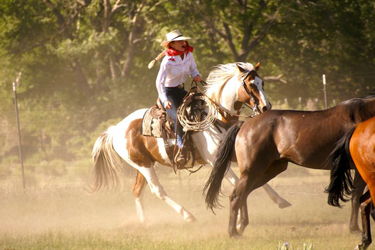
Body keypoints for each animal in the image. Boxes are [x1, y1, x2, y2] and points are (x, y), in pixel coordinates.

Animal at [206, 95, 375, 236]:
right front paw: (355, 229)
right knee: (236, 196)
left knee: (243, 195)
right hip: (252, 171)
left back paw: (240, 226)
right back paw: (233, 232)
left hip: (268, 171)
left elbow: (358, 196)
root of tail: (245, 124)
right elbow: (357, 196)